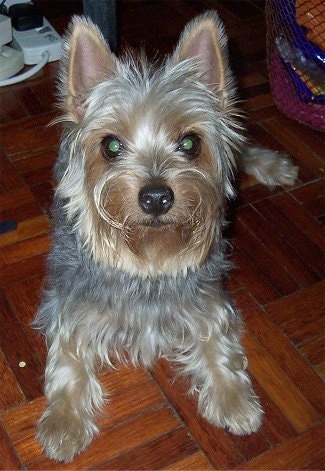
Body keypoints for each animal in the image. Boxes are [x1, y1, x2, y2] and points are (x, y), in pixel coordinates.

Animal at [34, 12, 298, 464]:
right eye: (111, 146)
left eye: (190, 143)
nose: (156, 196)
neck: (149, 262)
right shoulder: (70, 306)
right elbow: (67, 361)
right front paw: (63, 425)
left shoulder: (208, 300)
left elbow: (218, 342)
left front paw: (235, 401)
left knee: (241, 148)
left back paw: (276, 167)